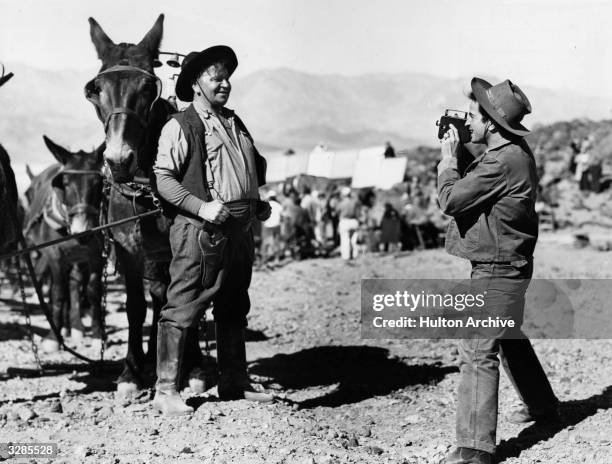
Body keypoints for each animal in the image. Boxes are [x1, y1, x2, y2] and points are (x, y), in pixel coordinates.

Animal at [23, 137, 104, 352]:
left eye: (98, 183)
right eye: (65, 183)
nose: (82, 230)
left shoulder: (95, 255)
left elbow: (93, 292)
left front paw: (98, 336)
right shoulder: (54, 255)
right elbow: (58, 293)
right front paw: (53, 338)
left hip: (77, 259)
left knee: (74, 285)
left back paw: (75, 328)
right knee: (62, 287)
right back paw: (65, 329)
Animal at [84, 15, 206, 398]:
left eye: (148, 87)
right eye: (96, 89)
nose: (118, 159)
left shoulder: (176, 247)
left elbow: (178, 299)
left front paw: (188, 367)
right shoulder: (127, 250)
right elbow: (137, 306)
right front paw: (131, 372)